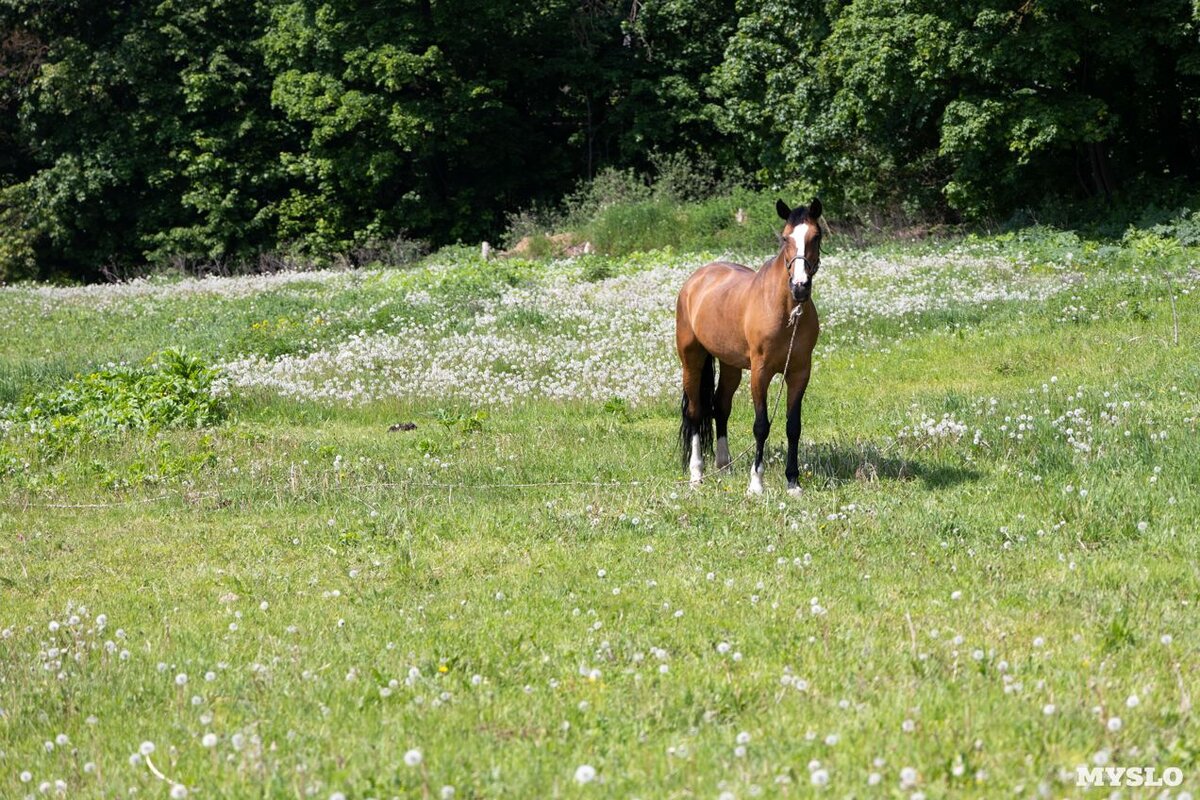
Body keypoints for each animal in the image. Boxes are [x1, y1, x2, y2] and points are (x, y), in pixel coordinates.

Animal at [676, 196, 825, 494]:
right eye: (785, 238)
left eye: (816, 236)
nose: (800, 286)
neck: (785, 311)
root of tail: (695, 280)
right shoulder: (760, 373)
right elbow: (761, 426)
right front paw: (756, 483)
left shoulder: (799, 372)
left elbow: (793, 426)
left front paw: (793, 482)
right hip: (692, 360)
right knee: (696, 412)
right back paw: (697, 474)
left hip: (730, 365)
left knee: (720, 406)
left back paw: (724, 465)